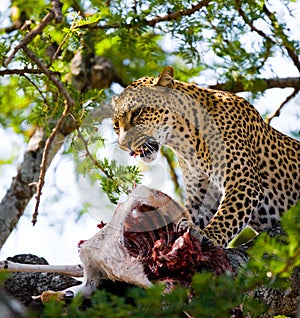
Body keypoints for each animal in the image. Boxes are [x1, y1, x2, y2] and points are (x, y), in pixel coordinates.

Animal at [112, 66, 300, 247]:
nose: (123, 144)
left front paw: (209, 235)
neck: (185, 142)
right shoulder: (202, 192)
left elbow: (228, 214)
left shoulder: (243, 181)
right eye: (115, 125)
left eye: (137, 112)